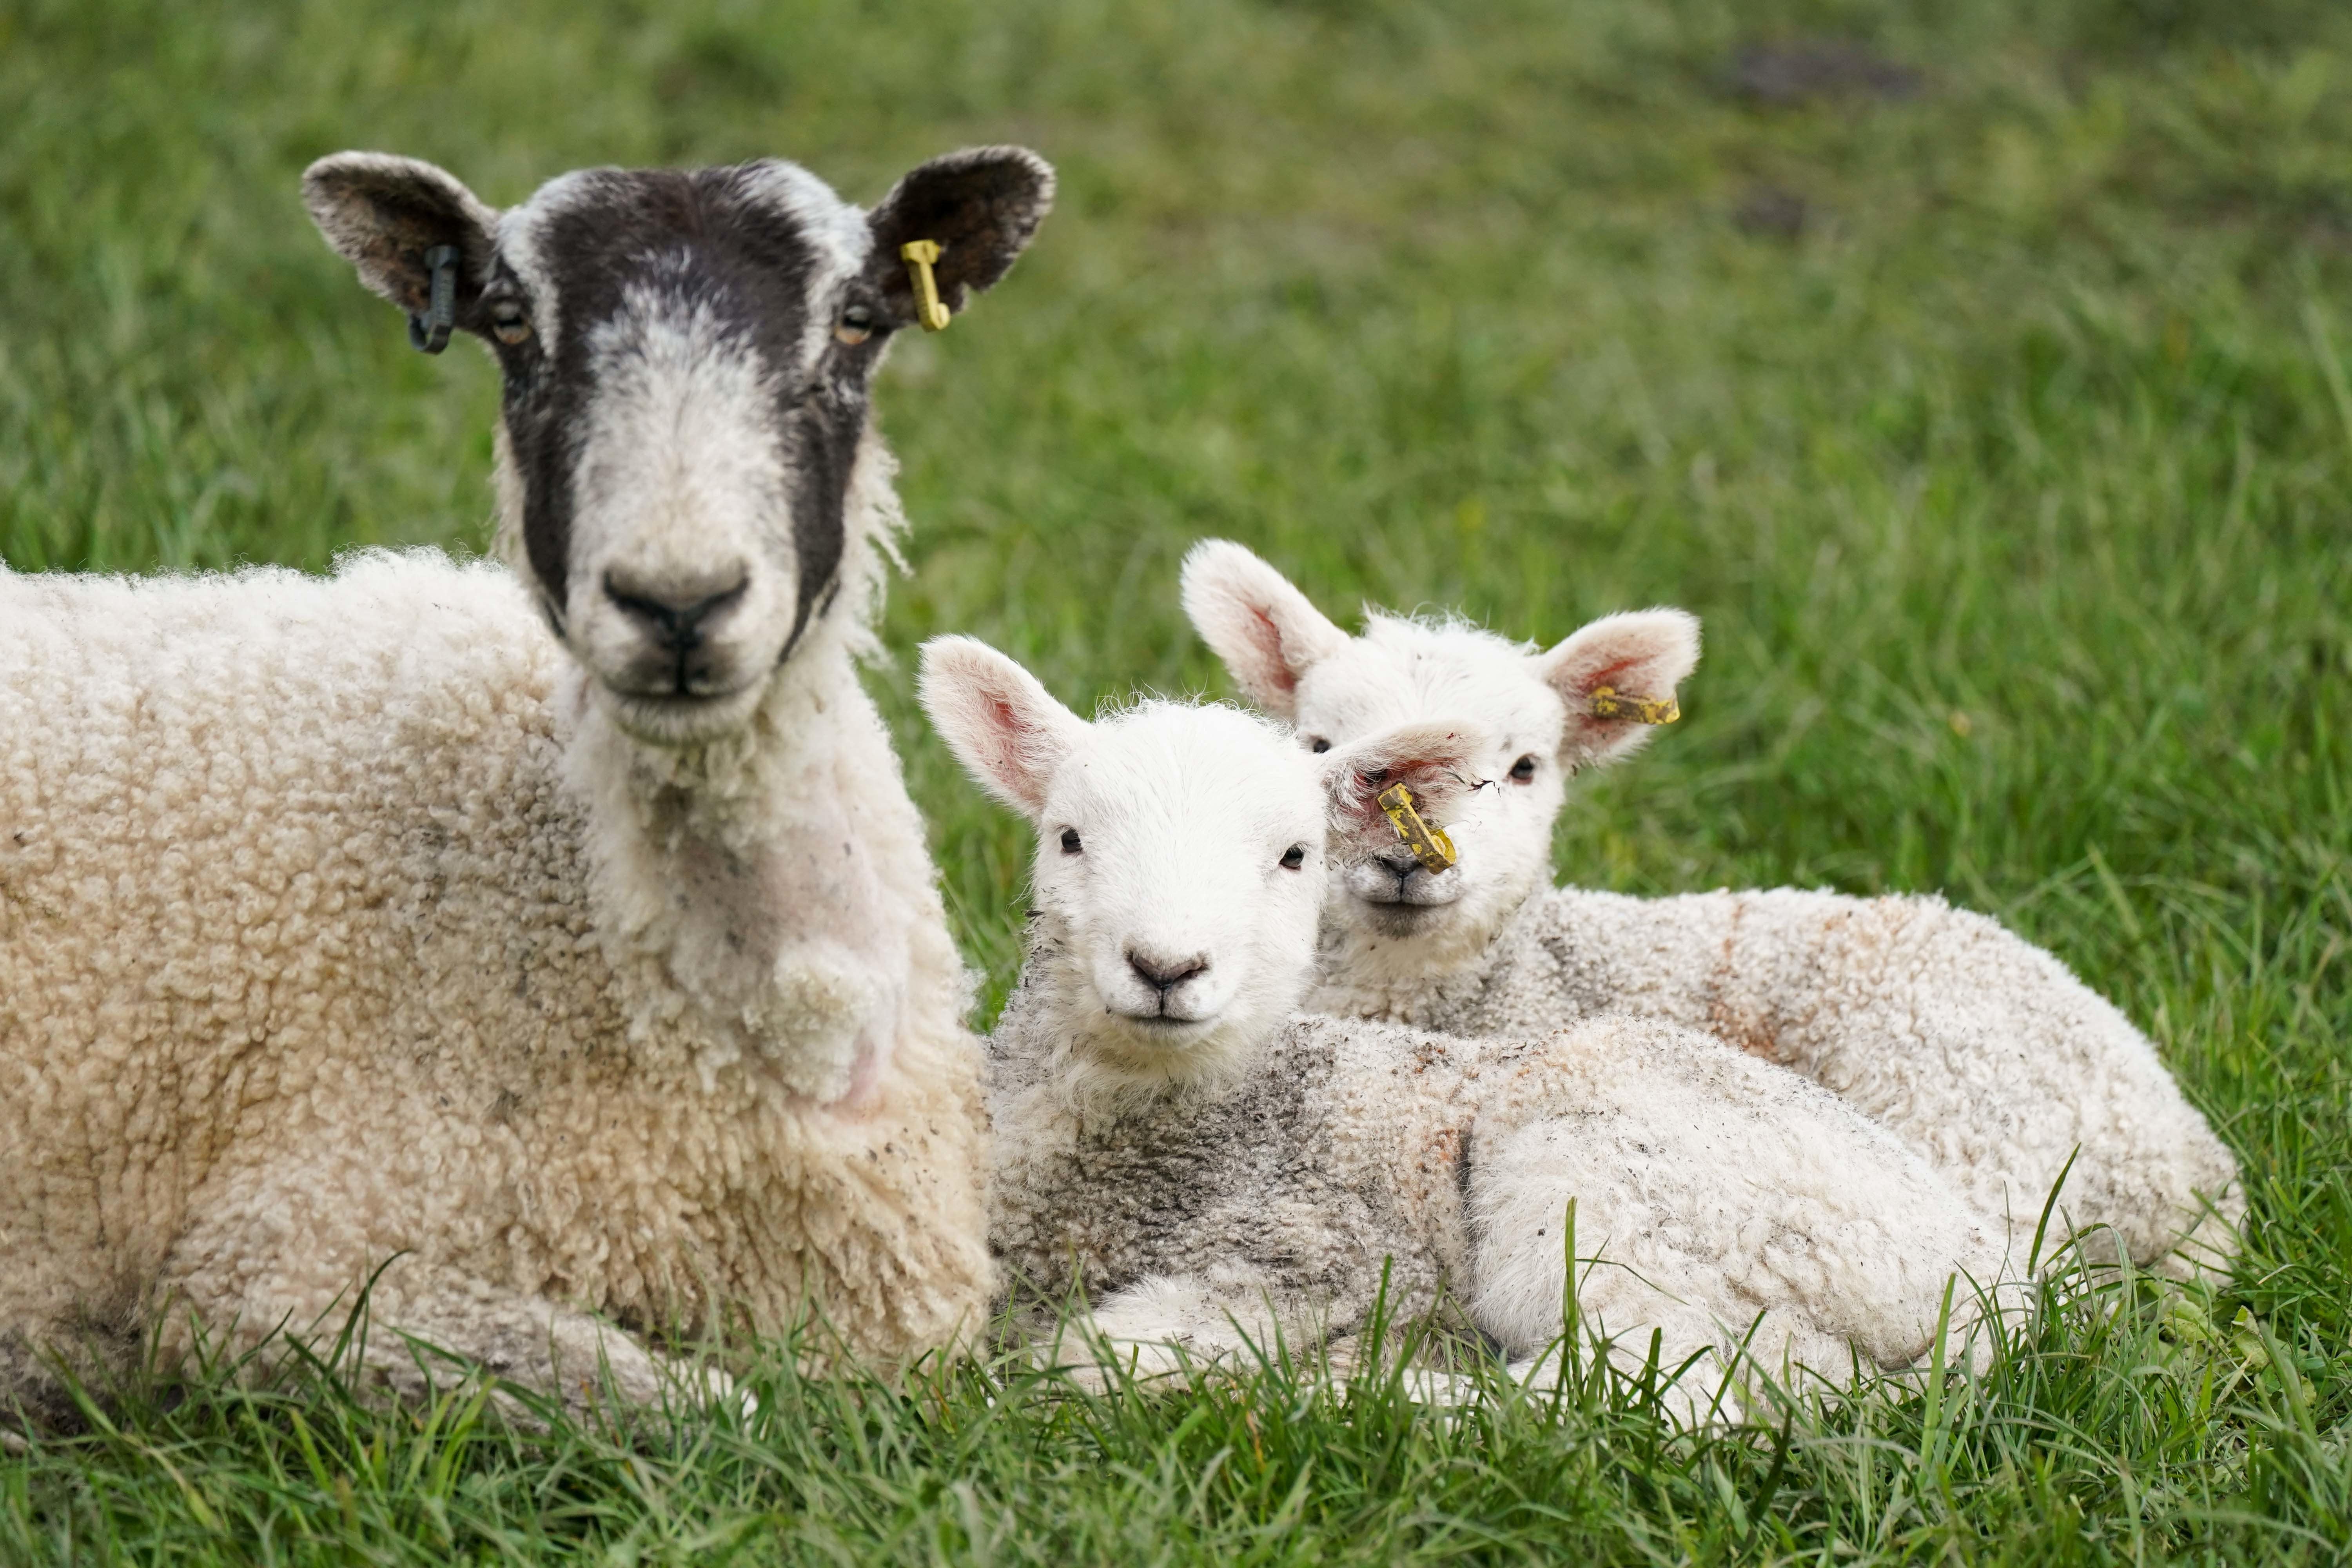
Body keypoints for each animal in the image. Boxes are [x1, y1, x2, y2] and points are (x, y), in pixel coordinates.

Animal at [908, 630, 2013, 1420]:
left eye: (1296, 856)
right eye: (1068, 838)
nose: (1166, 967)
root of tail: (1982, 1268)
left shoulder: (1324, 1250)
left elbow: (1081, 1359)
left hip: (1622, 1178)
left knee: (1651, 1384)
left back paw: (1366, 1393)